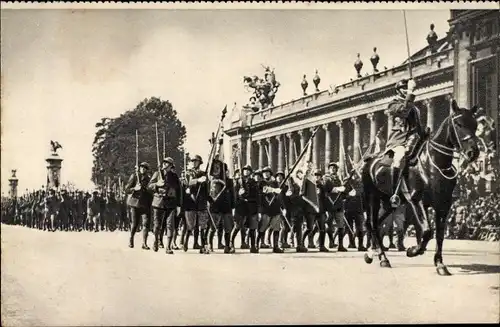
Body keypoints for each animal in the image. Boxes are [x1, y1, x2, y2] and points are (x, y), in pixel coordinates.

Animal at [364, 100, 480, 276]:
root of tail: (370, 160)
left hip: (390, 203)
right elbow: (426, 231)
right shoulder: (416, 200)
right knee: (371, 224)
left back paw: (372, 254)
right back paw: (382, 258)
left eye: (475, 125)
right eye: (458, 124)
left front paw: (439, 264)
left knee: (377, 224)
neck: (433, 163)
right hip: (373, 198)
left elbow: (438, 234)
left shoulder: (443, 205)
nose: (473, 152)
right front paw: (413, 250)